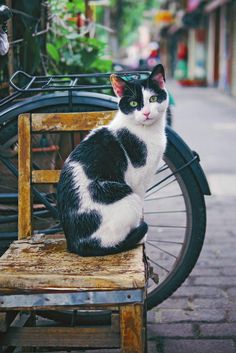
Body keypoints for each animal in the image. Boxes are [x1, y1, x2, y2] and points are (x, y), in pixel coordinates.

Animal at [57, 64, 168, 256]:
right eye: (133, 104)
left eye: (153, 98)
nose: (146, 113)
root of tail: (76, 244)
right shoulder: (138, 181)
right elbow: (142, 205)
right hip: (127, 197)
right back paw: (136, 237)